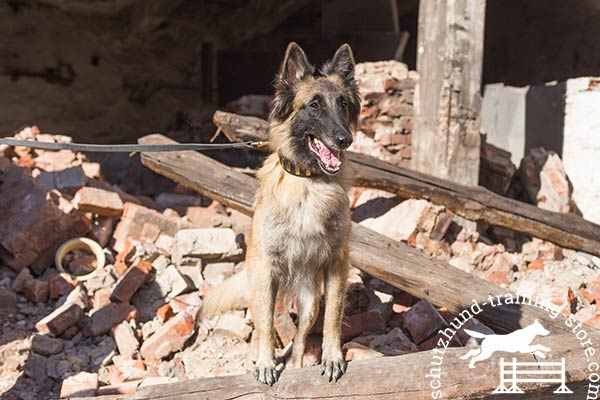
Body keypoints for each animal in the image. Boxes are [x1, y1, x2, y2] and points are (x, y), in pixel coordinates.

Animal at [202, 42, 360, 386]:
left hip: (310, 299)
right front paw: (264, 363)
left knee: (299, 338)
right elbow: (264, 328)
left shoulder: (337, 264)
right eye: (313, 106)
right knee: (264, 325)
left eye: (343, 104)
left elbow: (333, 317)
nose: (345, 139)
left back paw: (298, 365)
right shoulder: (266, 269)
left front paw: (332, 357)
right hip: (262, 284)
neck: (309, 181)